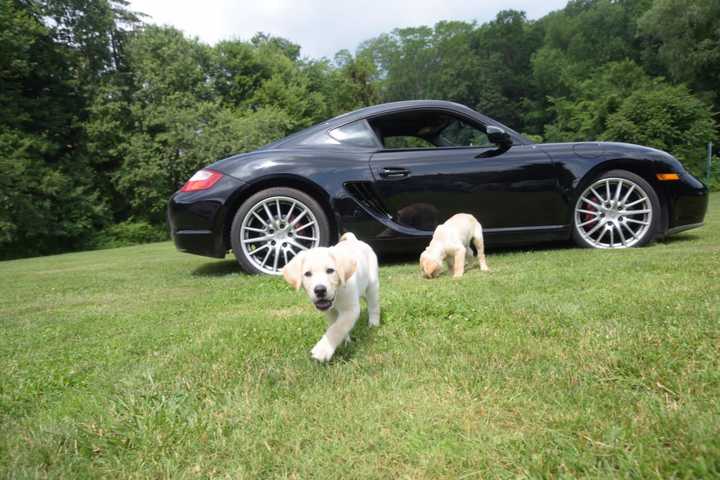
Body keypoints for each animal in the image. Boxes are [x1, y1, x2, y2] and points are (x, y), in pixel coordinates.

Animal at [282, 234, 382, 362]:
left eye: (330, 271)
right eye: (307, 274)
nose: (320, 290)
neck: (337, 294)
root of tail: (354, 240)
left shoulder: (351, 310)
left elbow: (338, 328)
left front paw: (323, 350)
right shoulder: (330, 312)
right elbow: (334, 325)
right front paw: (344, 341)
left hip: (372, 286)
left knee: (373, 306)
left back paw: (373, 324)